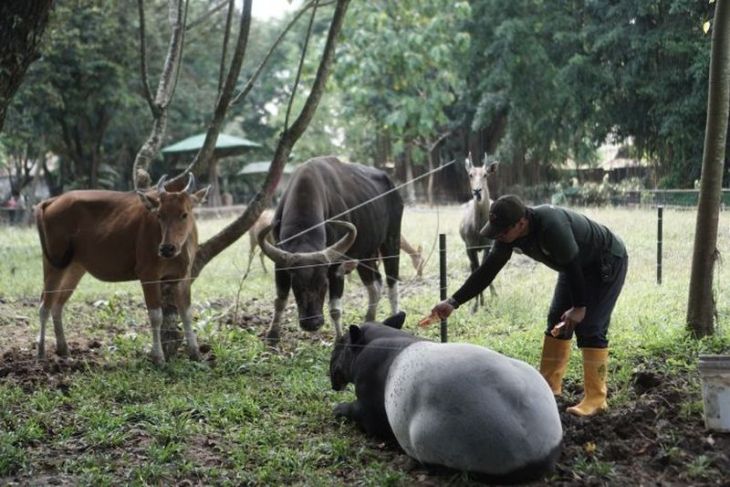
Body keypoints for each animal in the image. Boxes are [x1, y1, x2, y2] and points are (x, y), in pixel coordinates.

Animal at [35, 175, 209, 366]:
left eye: (184, 214)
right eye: (159, 215)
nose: (166, 248)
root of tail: (52, 201)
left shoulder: (183, 277)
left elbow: (186, 314)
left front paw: (196, 353)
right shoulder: (148, 275)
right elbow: (156, 316)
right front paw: (158, 357)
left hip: (74, 267)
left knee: (57, 304)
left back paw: (64, 349)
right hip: (53, 264)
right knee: (44, 306)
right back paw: (41, 351)